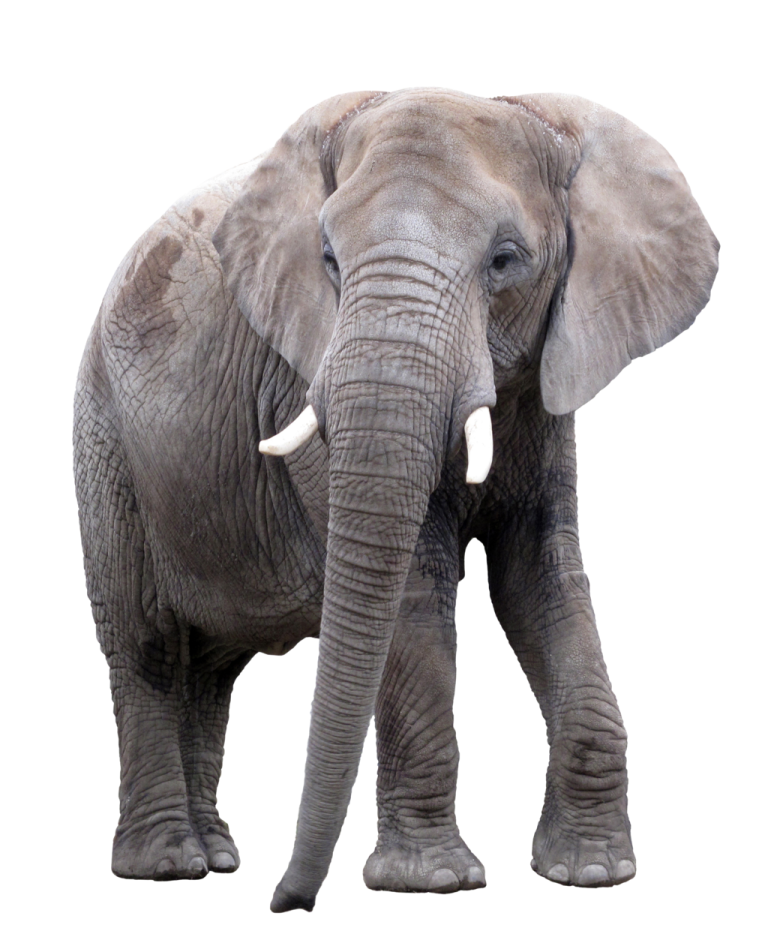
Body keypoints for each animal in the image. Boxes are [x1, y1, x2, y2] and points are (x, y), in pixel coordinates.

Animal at [72, 88, 719, 909]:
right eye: (328, 260)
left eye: (506, 261)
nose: (288, 902)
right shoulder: (302, 377)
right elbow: (414, 586)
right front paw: (433, 882)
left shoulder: (547, 393)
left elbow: (541, 580)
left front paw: (591, 872)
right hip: (106, 438)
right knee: (148, 643)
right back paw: (169, 865)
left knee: (211, 670)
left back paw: (215, 854)